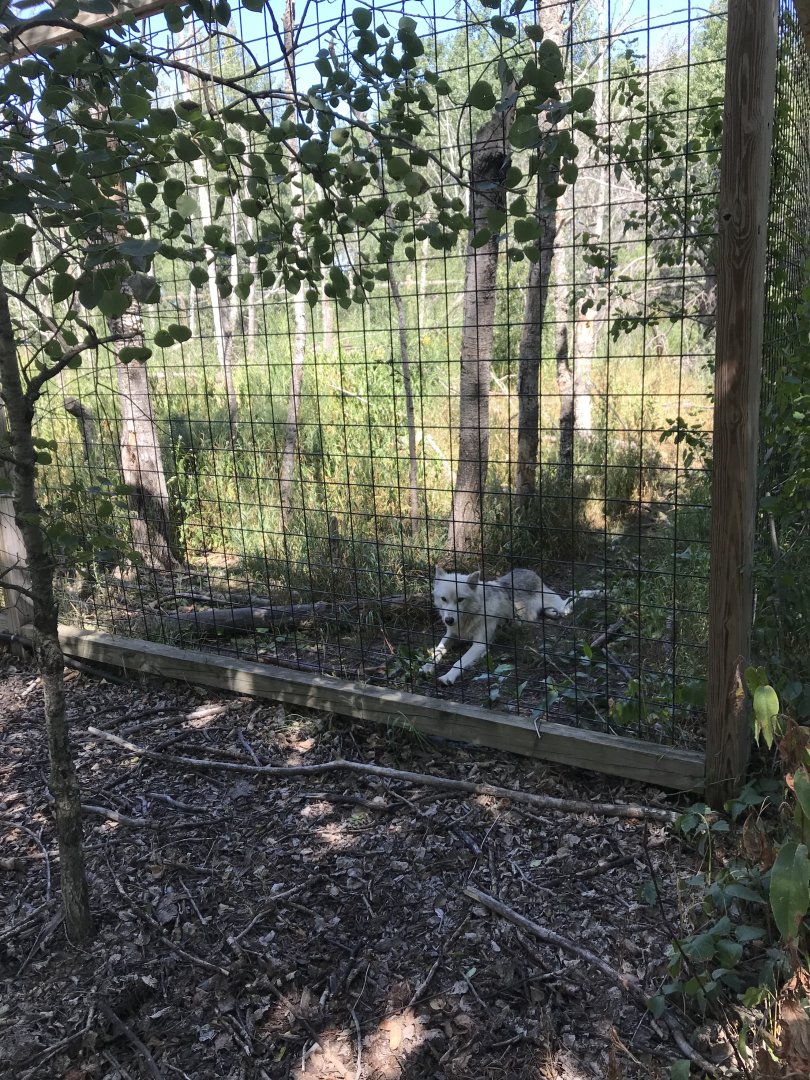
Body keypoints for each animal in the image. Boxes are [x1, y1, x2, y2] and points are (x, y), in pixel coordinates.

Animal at [420, 567, 597, 686]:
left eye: (460, 600)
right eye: (444, 599)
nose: (449, 620)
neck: (468, 618)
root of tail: (527, 570)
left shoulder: (480, 644)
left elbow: (459, 662)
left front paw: (447, 677)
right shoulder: (450, 635)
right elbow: (436, 651)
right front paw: (427, 667)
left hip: (563, 607)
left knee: (572, 598)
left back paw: (595, 592)